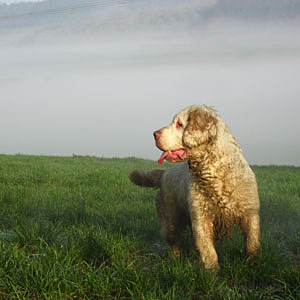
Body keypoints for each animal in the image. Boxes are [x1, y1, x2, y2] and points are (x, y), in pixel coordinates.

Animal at [129, 105, 260, 270]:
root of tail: (165, 173)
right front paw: (213, 272)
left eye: (179, 124)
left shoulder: (250, 213)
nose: (154, 134)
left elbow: (252, 244)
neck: (215, 174)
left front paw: (252, 264)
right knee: (174, 243)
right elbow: (209, 252)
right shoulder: (201, 219)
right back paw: (175, 261)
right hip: (171, 221)